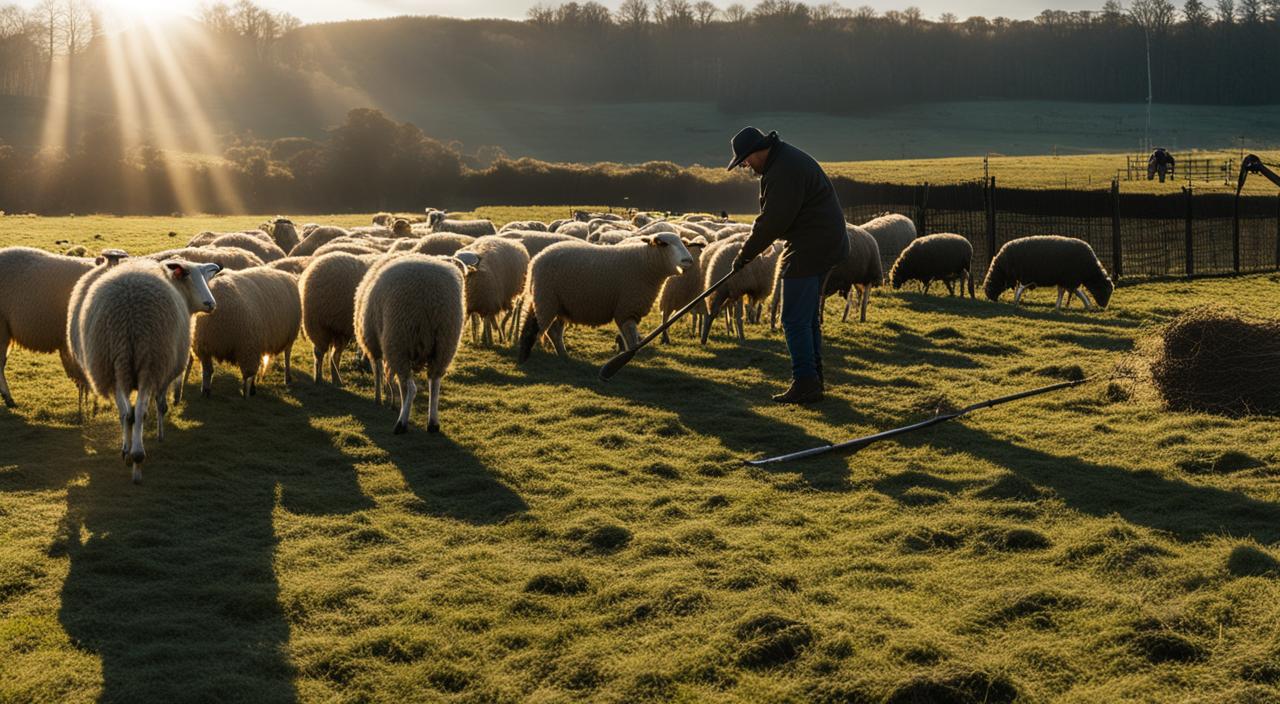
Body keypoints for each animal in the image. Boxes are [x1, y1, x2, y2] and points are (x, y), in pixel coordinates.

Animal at [75, 259, 220, 486]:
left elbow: (129, 412)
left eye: (207, 275)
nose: (210, 304)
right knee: (139, 411)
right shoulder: (164, 371)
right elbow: (161, 405)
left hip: (115, 364)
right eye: (188, 275)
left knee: (126, 412)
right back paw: (137, 459)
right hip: (150, 361)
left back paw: (127, 452)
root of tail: (129, 306)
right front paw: (160, 435)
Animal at [353, 250, 468, 432]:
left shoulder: (374, 342)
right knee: (434, 382)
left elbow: (378, 371)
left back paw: (401, 424)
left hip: (398, 338)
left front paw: (379, 398)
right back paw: (433, 423)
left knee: (409, 387)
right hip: (445, 342)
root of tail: (430, 297)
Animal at [517, 232, 696, 363]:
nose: (688, 260)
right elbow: (631, 339)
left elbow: (628, 336)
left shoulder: (628, 308)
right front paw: (628, 358)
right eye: (663, 244)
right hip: (545, 298)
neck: (645, 263)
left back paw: (563, 355)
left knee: (554, 331)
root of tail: (535, 260)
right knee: (533, 329)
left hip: (559, 304)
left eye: (684, 243)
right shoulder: (627, 308)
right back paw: (524, 357)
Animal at [983, 235, 1116, 311]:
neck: (1090, 271)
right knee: (1020, 288)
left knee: (1019, 287)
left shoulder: (1068, 280)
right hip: (1026, 274)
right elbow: (1072, 292)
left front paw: (1087, 306)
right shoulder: (1070, 279)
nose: (1104, 307)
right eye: (1106, 291)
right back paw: (1016, 302)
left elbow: (1073, 292)